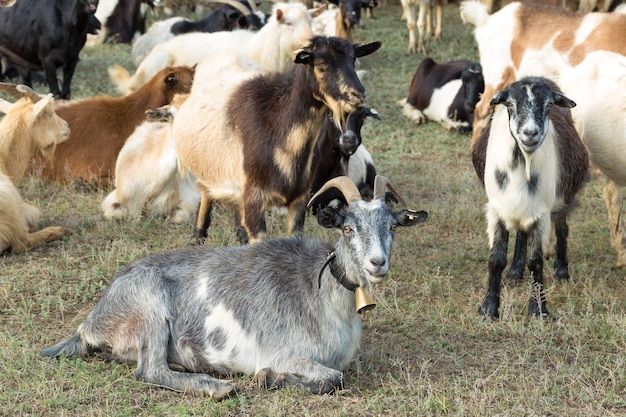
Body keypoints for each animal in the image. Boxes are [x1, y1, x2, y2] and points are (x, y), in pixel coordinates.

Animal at [168, 36, 380, 244]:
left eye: (353, 60)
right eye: (321, 65)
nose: (358, 95)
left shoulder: (299, 201)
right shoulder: (255, 200)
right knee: (205, 191)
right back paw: (197, 236)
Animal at [470, 77, 588, 318]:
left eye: (549, 105)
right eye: (510, 104)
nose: (530, 133)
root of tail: (537, 76)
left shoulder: (541, 214)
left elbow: (536, 262)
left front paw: (537, 309)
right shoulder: (497, 210)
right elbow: (496, 259)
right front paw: (488, 308)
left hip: (562, 198)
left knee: (562, 228)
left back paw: (562, 270)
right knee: (522, 235)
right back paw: (515, 271)